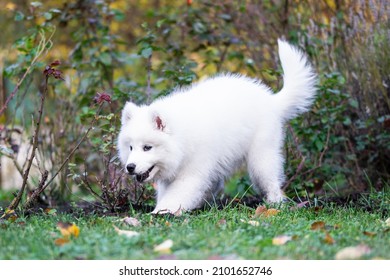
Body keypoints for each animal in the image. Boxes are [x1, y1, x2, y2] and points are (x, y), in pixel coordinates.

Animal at [118, 39, 316, 213]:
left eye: (147, 147)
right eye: (130, 147)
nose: (130, 167)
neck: (181, 138)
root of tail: (271, 100)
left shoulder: (192, 172)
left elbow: (176, 194)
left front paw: (162, 211)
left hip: (261, 157)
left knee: (271, 182)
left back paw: (275, 204)